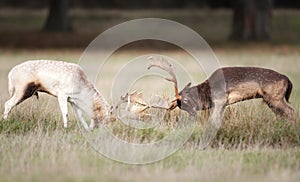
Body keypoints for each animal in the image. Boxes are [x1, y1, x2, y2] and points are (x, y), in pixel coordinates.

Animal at [2, 60, 152, 130]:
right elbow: (65, 112)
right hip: (22, 89)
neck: (81, 85)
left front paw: (85, 129)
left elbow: (79, 115)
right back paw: (5, 122)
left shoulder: (72, 100)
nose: (95, 129)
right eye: (106, 119)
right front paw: (65, 127)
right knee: (8, 103)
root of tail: (10, 73)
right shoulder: (62, 94)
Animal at [148, 56, 296, 120]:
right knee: (281, 114)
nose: (193, 114)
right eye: (180, 106)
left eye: (185, 100)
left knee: (290, 111)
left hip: (275, 97)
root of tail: (288, 80)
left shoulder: (220, 100)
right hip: (270, 100)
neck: (207, 92)